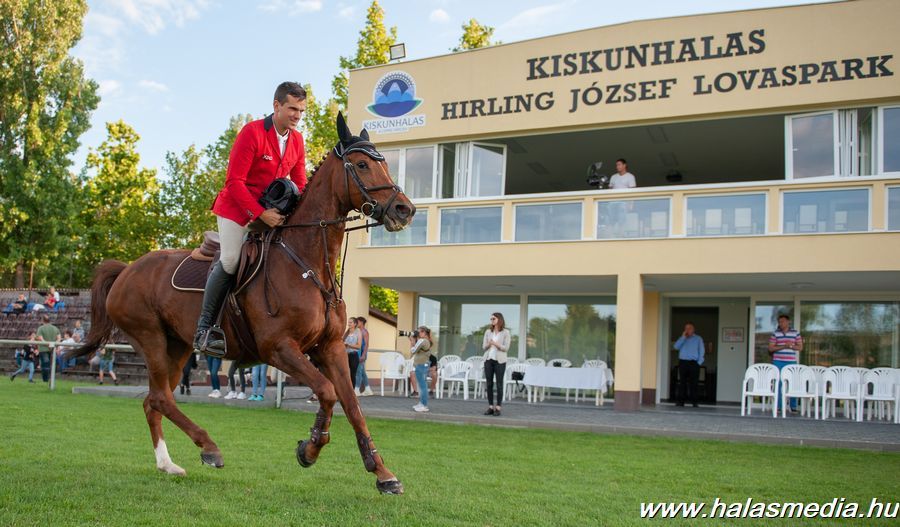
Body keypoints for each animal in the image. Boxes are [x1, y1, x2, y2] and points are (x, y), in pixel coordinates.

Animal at [73, 115, 414, 496]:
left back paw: (168, 464)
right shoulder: (279, 348)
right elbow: (327, 393)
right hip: (150, 338)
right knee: (160, 398)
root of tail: (126, 269)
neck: (306, 262)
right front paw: (309, 449)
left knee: (154, 400)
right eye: (362, 164)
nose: (405, 210)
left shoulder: (331, 348)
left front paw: (382, 473)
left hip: (177, 346)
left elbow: (353, 406)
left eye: (385, 163)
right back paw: (209, 448)